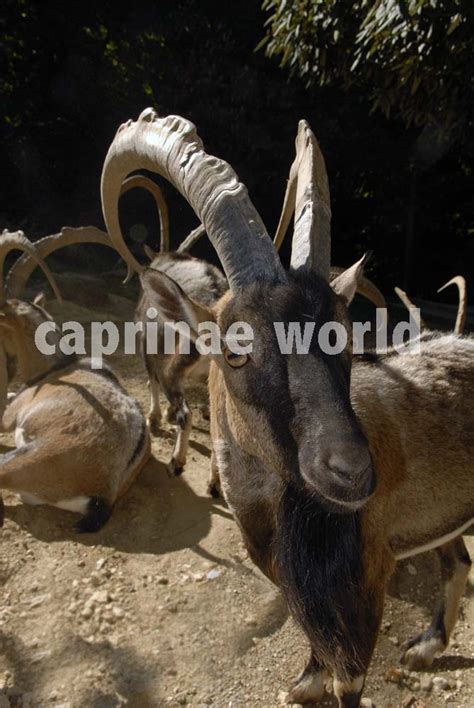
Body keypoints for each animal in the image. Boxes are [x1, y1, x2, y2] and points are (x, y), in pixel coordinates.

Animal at [102, 108, 472, 704]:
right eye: (235, 346)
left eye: (343, 331)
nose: (351, 471)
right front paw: (305, 682)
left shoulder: (365, 583)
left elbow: (349, 678)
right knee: (457, 560)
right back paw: (424, 648)